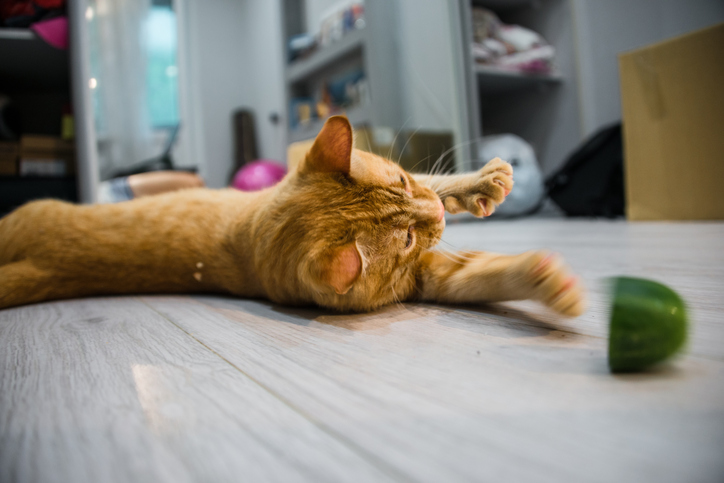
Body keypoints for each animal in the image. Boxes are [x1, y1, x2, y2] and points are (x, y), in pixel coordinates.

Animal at [0, 116, 584, 316]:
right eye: (407, 239)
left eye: (399, 179)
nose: (437, 213)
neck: (247, 242)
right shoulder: (427, 276)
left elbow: (443, 191)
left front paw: (479, 183)